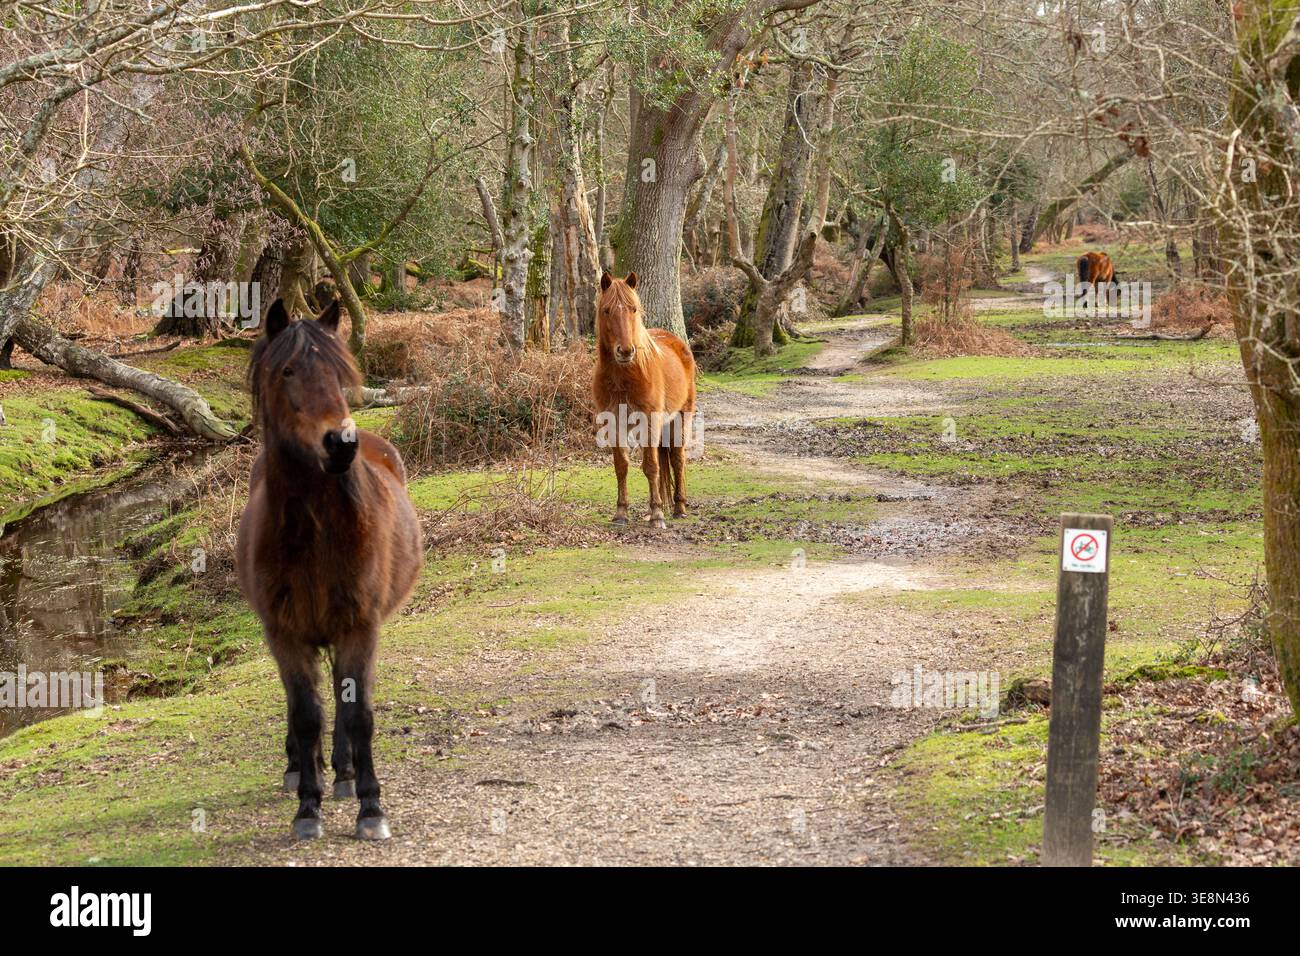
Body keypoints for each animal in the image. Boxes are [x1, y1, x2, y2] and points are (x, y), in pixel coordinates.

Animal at [236, 297, 423, 841]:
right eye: (287, 371)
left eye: (341, 373)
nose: (341, 443)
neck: (316, 532)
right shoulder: (285, 633)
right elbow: (304, 714)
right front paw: (307, 805)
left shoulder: (359, 627)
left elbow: (357, 713)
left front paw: (370, 807)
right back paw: (305, 767)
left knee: (341, 701)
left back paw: (342, 772)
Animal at [592, 271, 697, 529]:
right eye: (606, 310)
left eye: (633, 309)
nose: (625, 351)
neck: (624, 377)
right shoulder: (615, 424)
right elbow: (622, 467)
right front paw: (621, 513)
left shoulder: (650, 422)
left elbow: (651, 467)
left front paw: (658, 515)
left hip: (680, 419)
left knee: (678, 460)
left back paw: (679, 508)